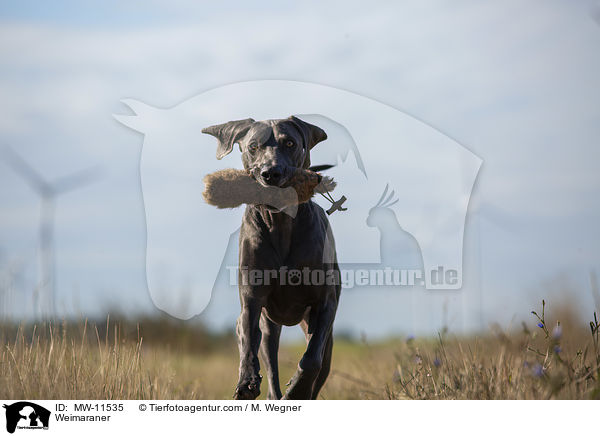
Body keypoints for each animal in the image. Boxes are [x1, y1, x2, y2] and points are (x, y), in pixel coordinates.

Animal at [203, 115, 340, 398]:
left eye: (290, 143)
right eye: (253, 146)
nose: (270, 173)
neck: (281, 224)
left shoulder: (325, 304)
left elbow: (311, 358)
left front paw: (298, 390)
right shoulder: (251, 300)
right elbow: (247, 341)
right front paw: (246, 381)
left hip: (325, 339)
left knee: (319, 361)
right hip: (269, 328)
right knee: (270, 369)